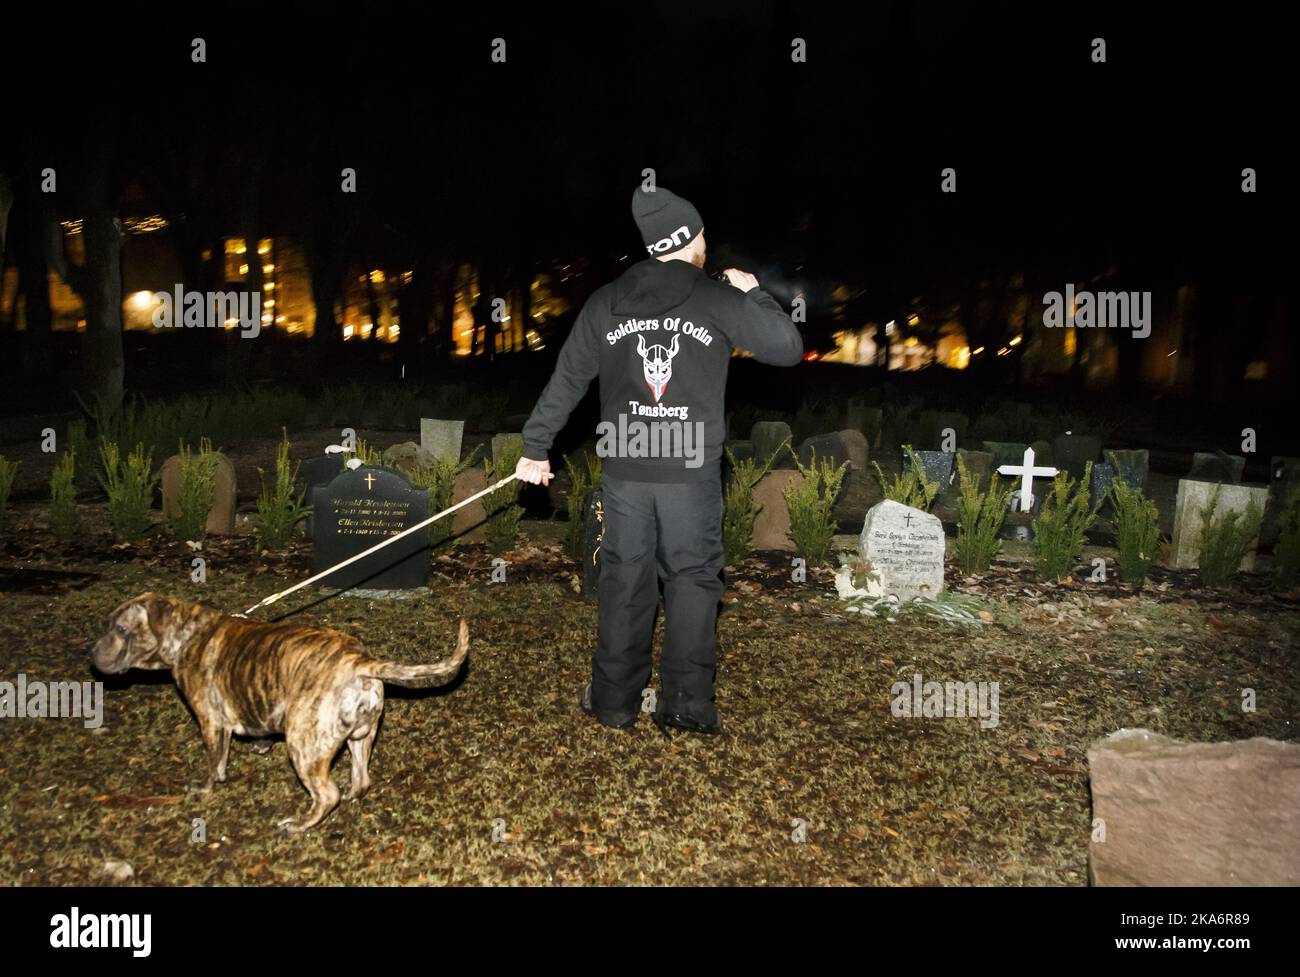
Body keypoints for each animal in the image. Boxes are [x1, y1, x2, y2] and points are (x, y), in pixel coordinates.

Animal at [94, 592, 473, 826]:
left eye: (122, 629)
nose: (90, 652)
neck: (187, 633)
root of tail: (358, 661)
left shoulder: (211, 722)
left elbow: (214, 762)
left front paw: (204, 786)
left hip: (304, 744)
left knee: (327, 794)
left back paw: (300, 825)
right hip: (360, 736)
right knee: (361, 778)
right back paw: (352, 794)